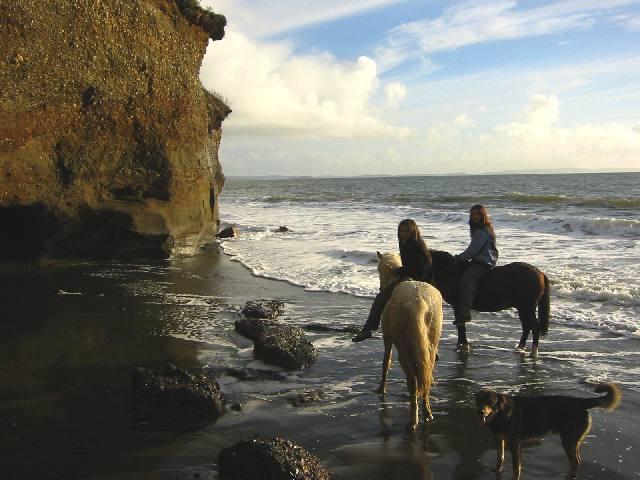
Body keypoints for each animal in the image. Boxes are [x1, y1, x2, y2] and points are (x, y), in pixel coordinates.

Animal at [378, 251, 442, 432]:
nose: (380, 288)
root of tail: (418, 300)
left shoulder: (387, 339)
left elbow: (386, 362)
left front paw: (381, 388)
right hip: (431, 346)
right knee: (426, 376)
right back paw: (427, 413)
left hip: (403, 350)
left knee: (412, 383)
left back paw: (413, 420)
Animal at [476, 382, 620, 480]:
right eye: (479, 401)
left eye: (490, 402)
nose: (480, 412)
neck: (501, 414)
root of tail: (581, 402)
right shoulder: (498, 439)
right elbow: (499, 457)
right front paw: (496, 470)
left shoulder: (514, 443)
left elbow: (516, 466)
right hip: (572, 440)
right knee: (577, 460)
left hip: (568, 440)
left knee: (575, 461)